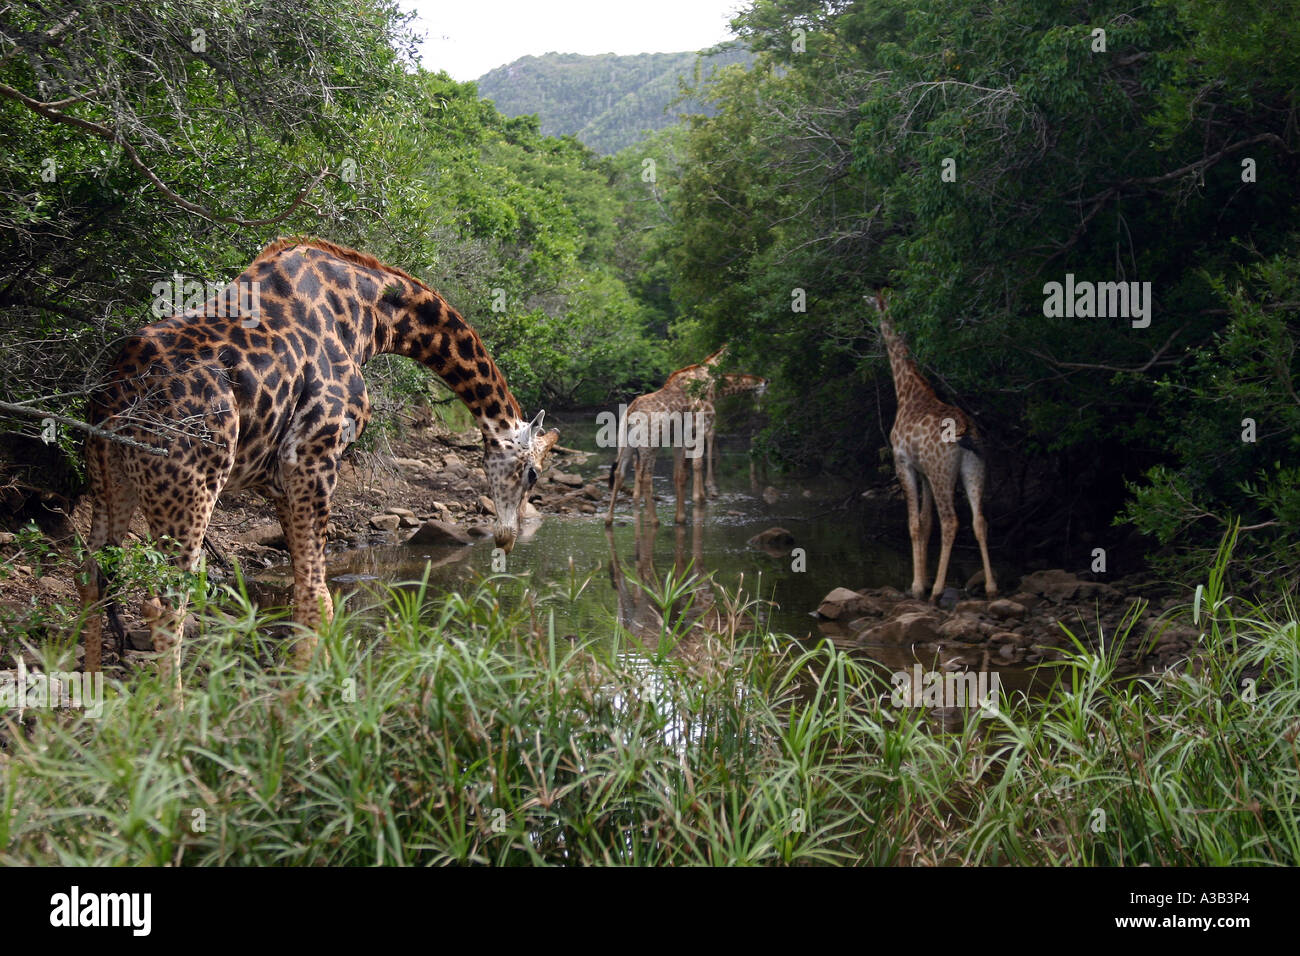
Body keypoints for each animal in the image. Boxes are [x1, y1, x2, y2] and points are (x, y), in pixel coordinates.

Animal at [78, 237, 557, 695]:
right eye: (533, 473)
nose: (508, 538)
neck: (368, 315)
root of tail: (118, 388)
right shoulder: (315, 454)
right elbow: (318, 597)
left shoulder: (280, 476)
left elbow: (303, 595)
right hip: (190, 484)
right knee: (164, 602)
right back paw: (173, 716)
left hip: (108, 476)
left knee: (92, 576)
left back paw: (93, 697)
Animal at [604, 347, 726, 527]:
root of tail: (631, 412)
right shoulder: (692, 433)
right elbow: (684, 473)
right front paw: (681, 517)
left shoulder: (678, 439)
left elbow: (678, 474)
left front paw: (679, 516)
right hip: (650, 446)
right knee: (645, 476)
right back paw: (655, 520)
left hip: (627, 445)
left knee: (620, 473)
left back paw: (609, 519)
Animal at [870, 291, 997, 602]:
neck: (907, 391)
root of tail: (967, 431)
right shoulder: (924, 471)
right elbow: (926, 523)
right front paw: (921, 581)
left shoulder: (904, 464)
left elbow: (915, 524)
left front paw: (918, 586)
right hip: (974, 468)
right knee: (980, 520)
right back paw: (991, 587)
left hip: (943, 473)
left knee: (951, 521)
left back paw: (938, 591)